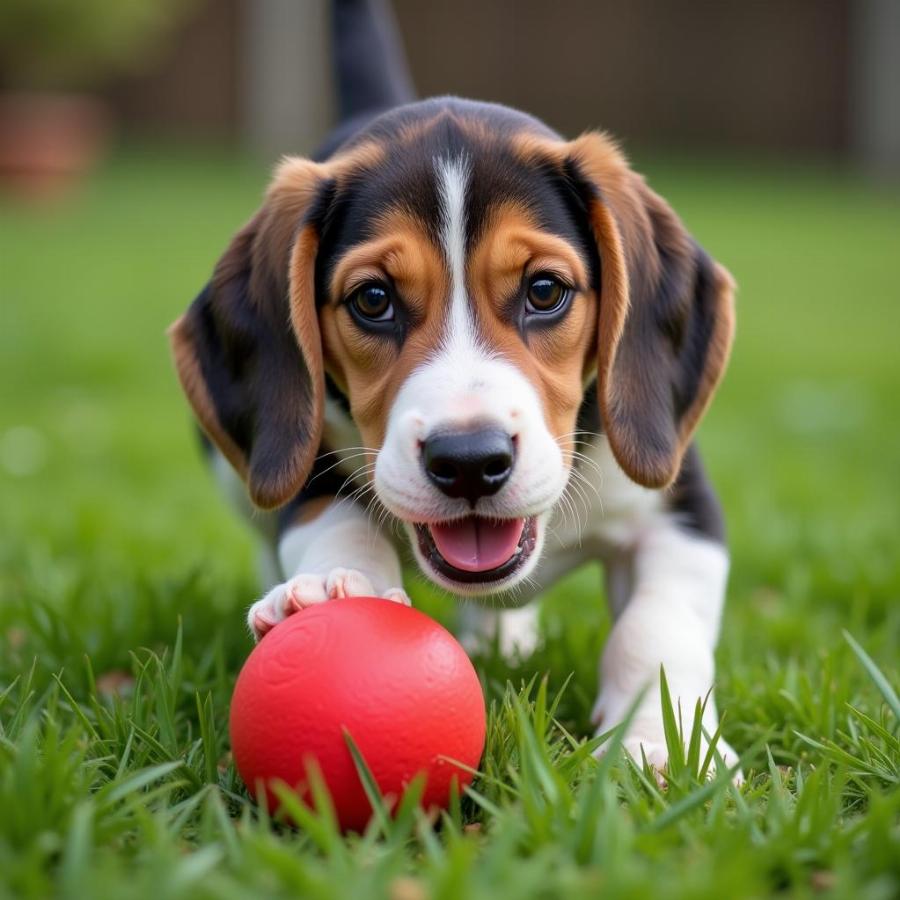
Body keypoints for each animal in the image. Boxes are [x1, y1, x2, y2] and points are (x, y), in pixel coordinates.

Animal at [169, 1, 740, 772]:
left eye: (545, 291)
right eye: (373, 299)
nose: (469, 461)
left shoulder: (683, 512)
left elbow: (656, 629)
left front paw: (660, 746)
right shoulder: (307, 462)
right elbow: (334, 521)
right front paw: (334, 589)